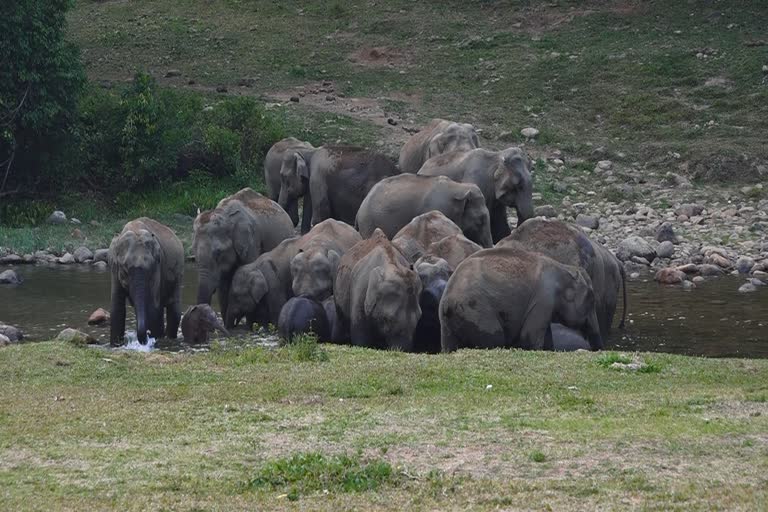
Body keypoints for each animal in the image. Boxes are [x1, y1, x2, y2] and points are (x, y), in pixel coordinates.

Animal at [108, 218, 184, 346]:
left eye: (150, 269)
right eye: (125, 269)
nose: (146, 337)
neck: (135, 228)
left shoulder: (158, 268)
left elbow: (152, 307)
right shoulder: (114, 268)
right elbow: (117, 307)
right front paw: (115, 345)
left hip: (178, 273)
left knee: (173, 309)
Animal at [440, 244, 604, 352]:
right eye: (592, 300)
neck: (563, 267)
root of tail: (448, 302)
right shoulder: (544, 297)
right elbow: (529, 337)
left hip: (448, 324)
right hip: (477, 312)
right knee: (494, 339)